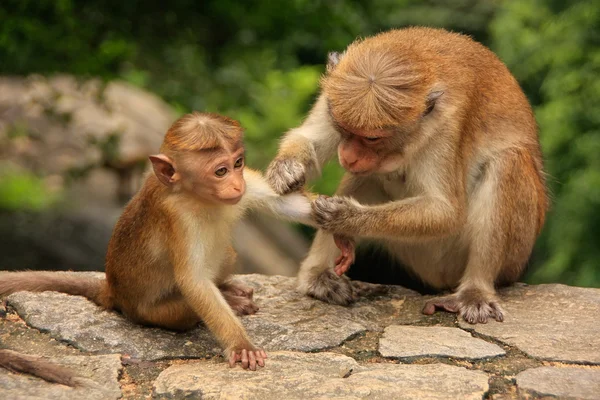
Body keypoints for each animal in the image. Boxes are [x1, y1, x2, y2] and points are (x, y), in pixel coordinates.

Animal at [0, 110, 318, 372]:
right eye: (220, 171)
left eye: (238, 163)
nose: (236, 185)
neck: (196, 196)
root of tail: (113, 291)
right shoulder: (178, 218)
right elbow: (194, 281)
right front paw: (241, 344)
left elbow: (283, 203)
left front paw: (331, 213)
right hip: (152, 313)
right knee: (188, 304)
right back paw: (229, 300)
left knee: (226, 253)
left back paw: (228, 288)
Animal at [268, 26, 548, 324]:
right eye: (342, 126)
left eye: (372, 138)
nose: (348, 155)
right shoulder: (331, 92)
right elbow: (308, 139)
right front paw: (285, 168)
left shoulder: (446, 126)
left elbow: (445, 210)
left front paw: (347, 217)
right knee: (367, 177)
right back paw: (318, 274)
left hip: (500, 256)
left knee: (508, 161)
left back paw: (476, 290)